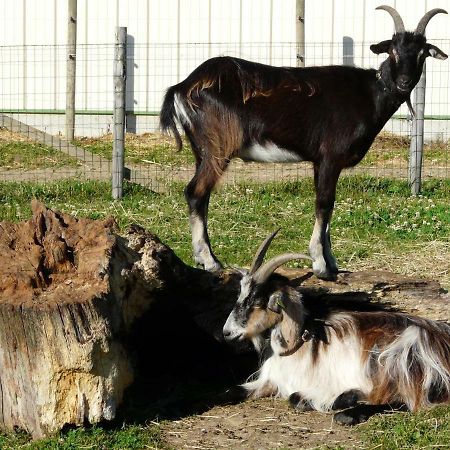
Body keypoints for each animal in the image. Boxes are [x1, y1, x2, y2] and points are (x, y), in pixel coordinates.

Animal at [161, 7, 446, 280]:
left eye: (422, 54)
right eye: (393, 50)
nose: (404, 82)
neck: (369, 92)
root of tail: (182, 87)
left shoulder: (320, 162)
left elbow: (328, 207)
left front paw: (332, 263)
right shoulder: (331, 157)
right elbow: (324, 203)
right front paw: (320, 265)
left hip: (201, 151)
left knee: (201, 195)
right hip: (218, 149)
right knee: (196, 192)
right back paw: (211, 261)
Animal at [223, 234, 450, 424]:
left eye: (257, 301)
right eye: (240, 296)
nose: (226, 333)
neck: (299, 343)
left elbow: (295, 397)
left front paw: (322, 401)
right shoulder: (269, 382)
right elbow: (230, 392)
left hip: (402, 350)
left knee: (409, 401)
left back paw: (348, 414)